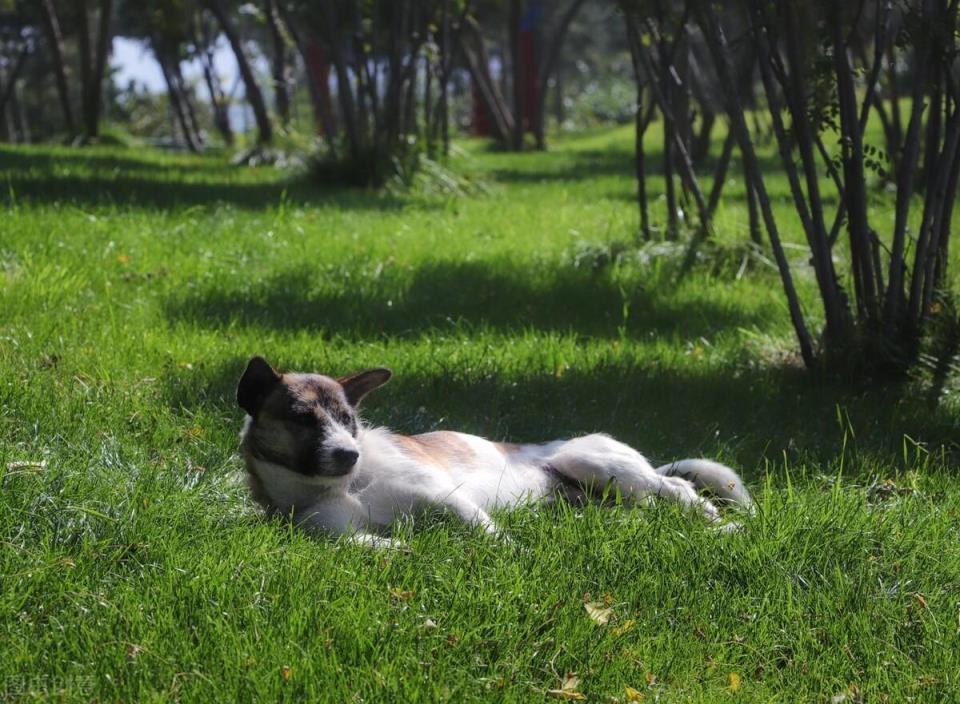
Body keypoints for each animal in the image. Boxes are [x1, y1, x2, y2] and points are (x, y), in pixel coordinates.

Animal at [236, 358, 752, 544]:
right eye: (302, 418)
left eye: (349, 420)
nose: (349, 455)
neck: (349, 486)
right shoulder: (333, 532)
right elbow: (371, 544)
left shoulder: (448, 499)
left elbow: (490, 536)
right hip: (606, 498)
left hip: (594, 462)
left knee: (677, 486)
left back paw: (717, 522)